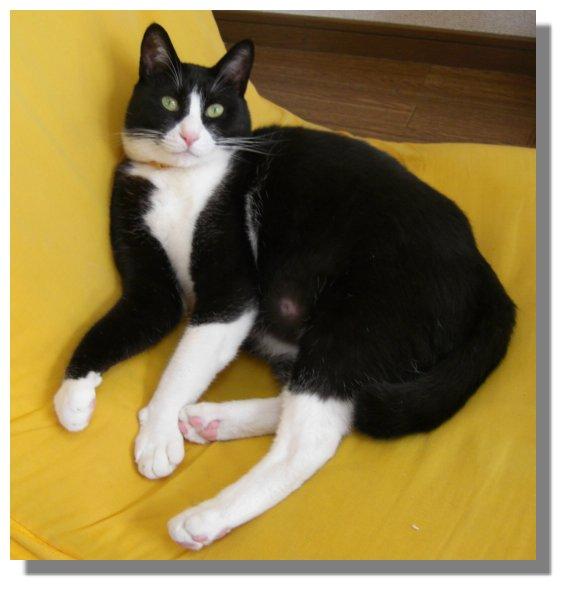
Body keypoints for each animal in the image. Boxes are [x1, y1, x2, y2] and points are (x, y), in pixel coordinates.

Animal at [53, 23, 516, 551]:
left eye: (214, 112)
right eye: (170, 103)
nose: (190, 136)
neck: (178, 183)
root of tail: (486, 276)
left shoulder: (232, 291)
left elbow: (184, 365)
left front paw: (157, 434)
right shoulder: (150, 281)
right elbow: (119, 323)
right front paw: (72, 396)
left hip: (361, 317)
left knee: (314, 436)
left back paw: (205, 517)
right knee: (336, 403)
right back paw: (212, 420)